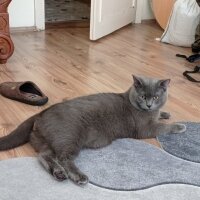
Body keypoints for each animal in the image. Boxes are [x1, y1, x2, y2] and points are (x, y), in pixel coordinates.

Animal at [0, 76, 186, 185]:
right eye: (142, 96)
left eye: (155, 97)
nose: (148, 105)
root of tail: (41, 113)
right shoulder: (145, 129)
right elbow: (163, 127)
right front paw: (180, 126)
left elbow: (160, 115)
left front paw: (165, 113)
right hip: (70, 137)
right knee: (63, 157)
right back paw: (78, 176)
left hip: (46, 141)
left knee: (43, 156)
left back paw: (58, 173)